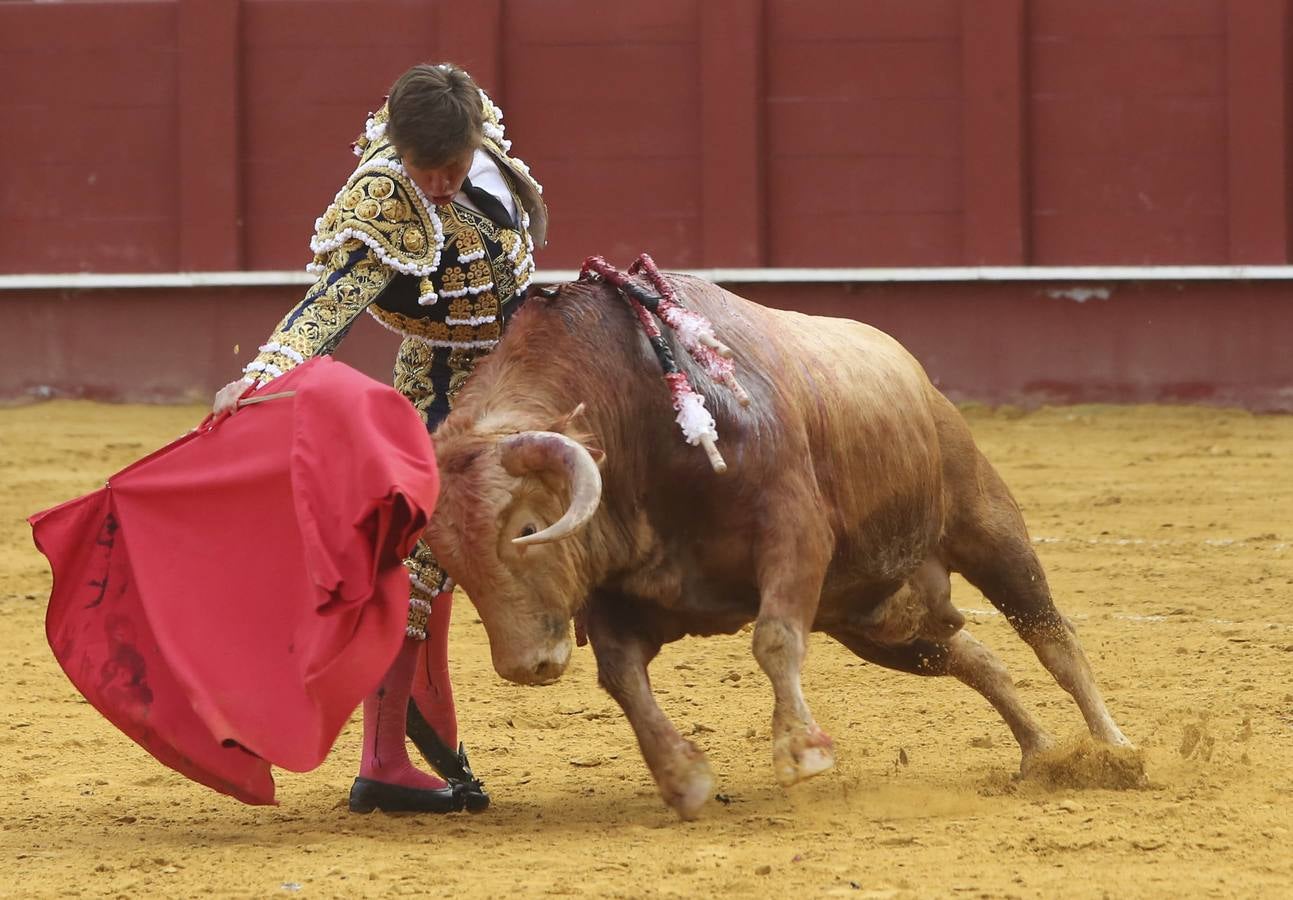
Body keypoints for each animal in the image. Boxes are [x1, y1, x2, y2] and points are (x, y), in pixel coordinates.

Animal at [426, 270, 1132, 817]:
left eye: (525, 529)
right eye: (450, 561)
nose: (524, 666)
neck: (633, 409)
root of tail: (918, 378)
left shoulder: (794, 534)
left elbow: (773, 639)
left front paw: (801, 751)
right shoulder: (614, 588)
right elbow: (622, 677)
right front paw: (683, 778)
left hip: (987, 527)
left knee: (1052, 636)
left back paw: (1117, 751)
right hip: (878, 619)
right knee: (973, 657)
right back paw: (1041, 751)